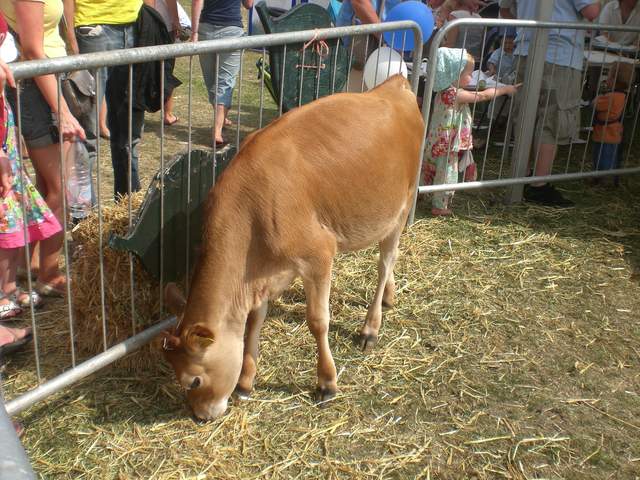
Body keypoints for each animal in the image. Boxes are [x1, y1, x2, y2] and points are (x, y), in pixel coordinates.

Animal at [162, 75, 425, 420]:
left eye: (194, 380)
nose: (199, 416)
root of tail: (394, 85)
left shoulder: (318, 254)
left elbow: (318, 321)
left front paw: (327, 382)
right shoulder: (262, 274)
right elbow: (254, 322)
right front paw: (245, 381)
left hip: (403, 205)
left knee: (385, 262)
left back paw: (370, 327)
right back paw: (390, 297)